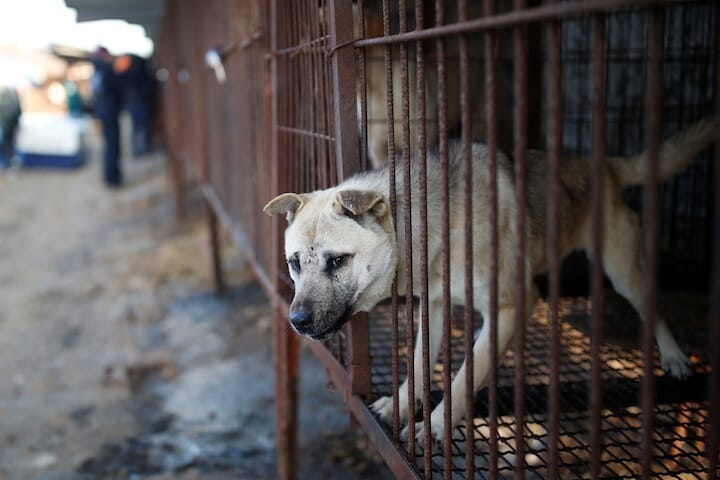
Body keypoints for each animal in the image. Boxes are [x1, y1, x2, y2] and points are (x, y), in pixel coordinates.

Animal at [264, 117, 720, 442]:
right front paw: (400, 404)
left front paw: (435, 426)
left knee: (653, 307)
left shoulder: (511, 304)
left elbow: (466, 377)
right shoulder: (434, 306)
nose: (296, 321)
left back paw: (675, 357)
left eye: (338, 261)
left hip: (624, 272)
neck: (433, 222)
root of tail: (602, 164)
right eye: (294, 263)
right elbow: (419, 364)